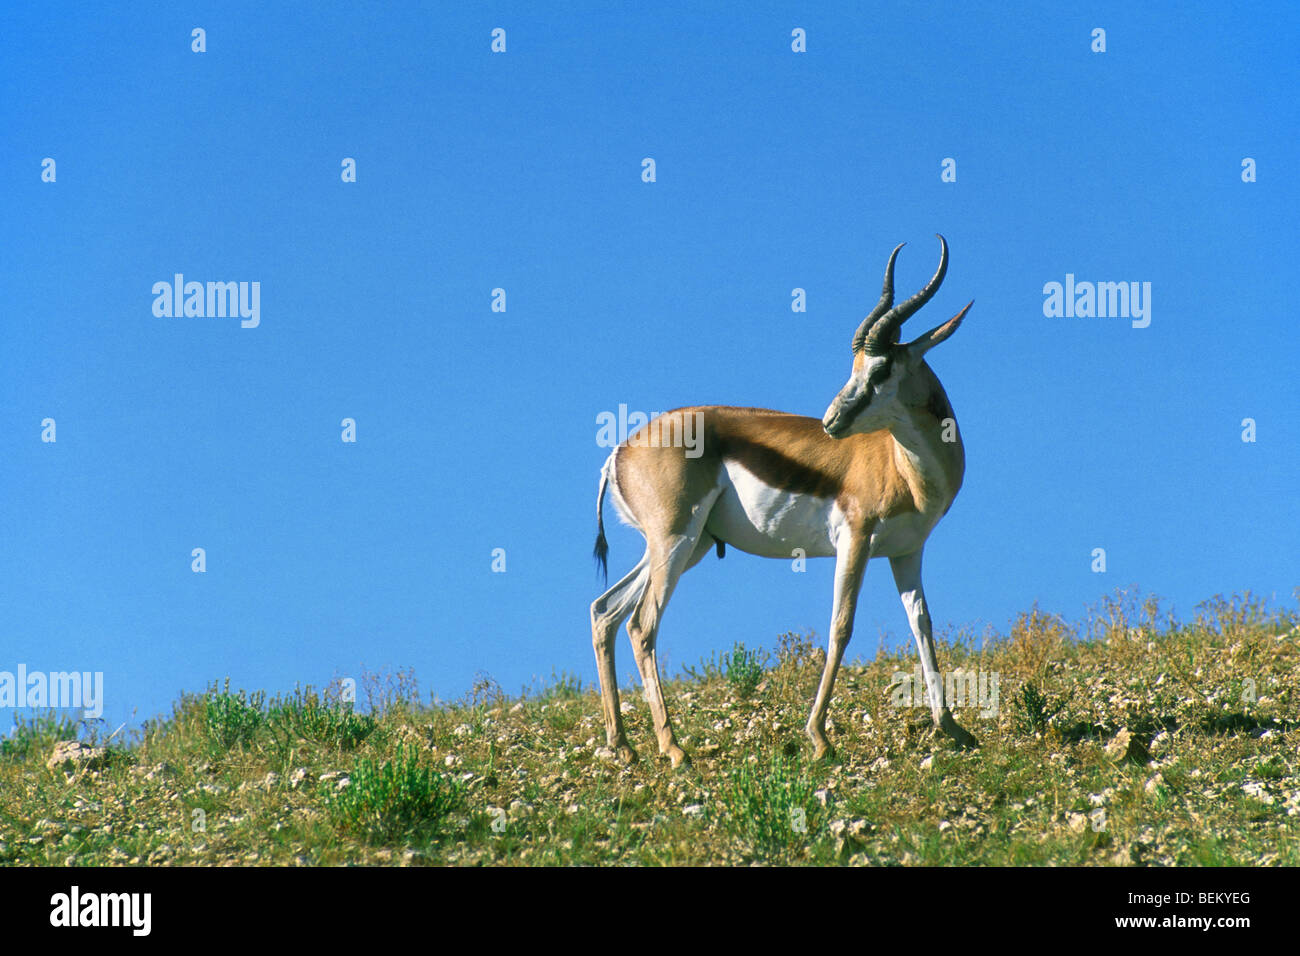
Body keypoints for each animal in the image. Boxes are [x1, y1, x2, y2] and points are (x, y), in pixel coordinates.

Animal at [590, 235, 977, 764]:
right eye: (856, 366)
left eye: (881, 368)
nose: (831, 421)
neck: (902, 465)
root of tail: (620, 451)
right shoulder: (855, 539)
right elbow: (841, 626)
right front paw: (818, 737)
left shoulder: (907, 552)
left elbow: (923, 624)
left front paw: (952, 728)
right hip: (674, 541)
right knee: (641, 625)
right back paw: (674, 749)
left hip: (683, 546)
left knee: (605, 611)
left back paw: (622, 745)